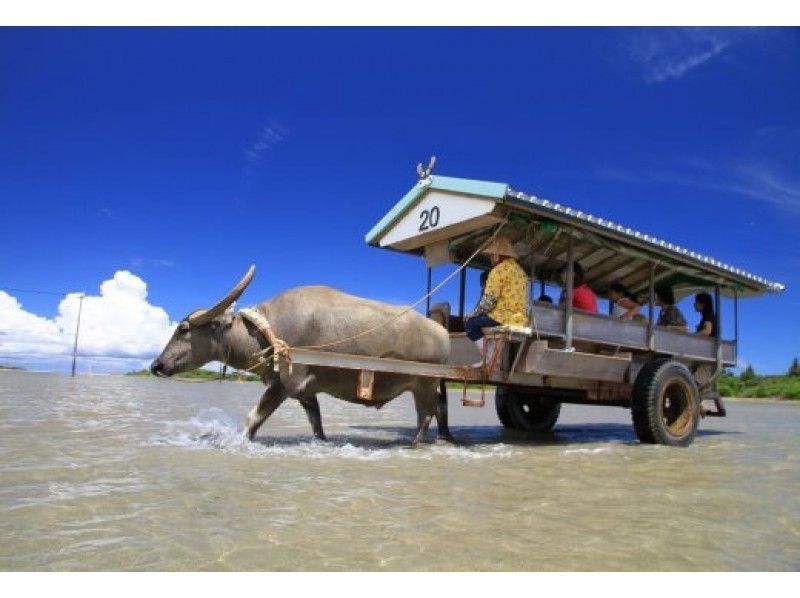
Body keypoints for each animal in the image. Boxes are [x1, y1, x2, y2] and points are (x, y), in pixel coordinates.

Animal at [148, 268, 450, 446]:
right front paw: (322, 440)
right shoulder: (307, 392)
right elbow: (316, 422)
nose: (156, 364)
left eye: (183, 329)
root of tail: (442, 332)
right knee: (439, 409)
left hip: (424, 384)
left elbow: (253, 418)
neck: (267, 333)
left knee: (426, 414)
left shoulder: (284, 384)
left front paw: (241, 439)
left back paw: (414, 443)